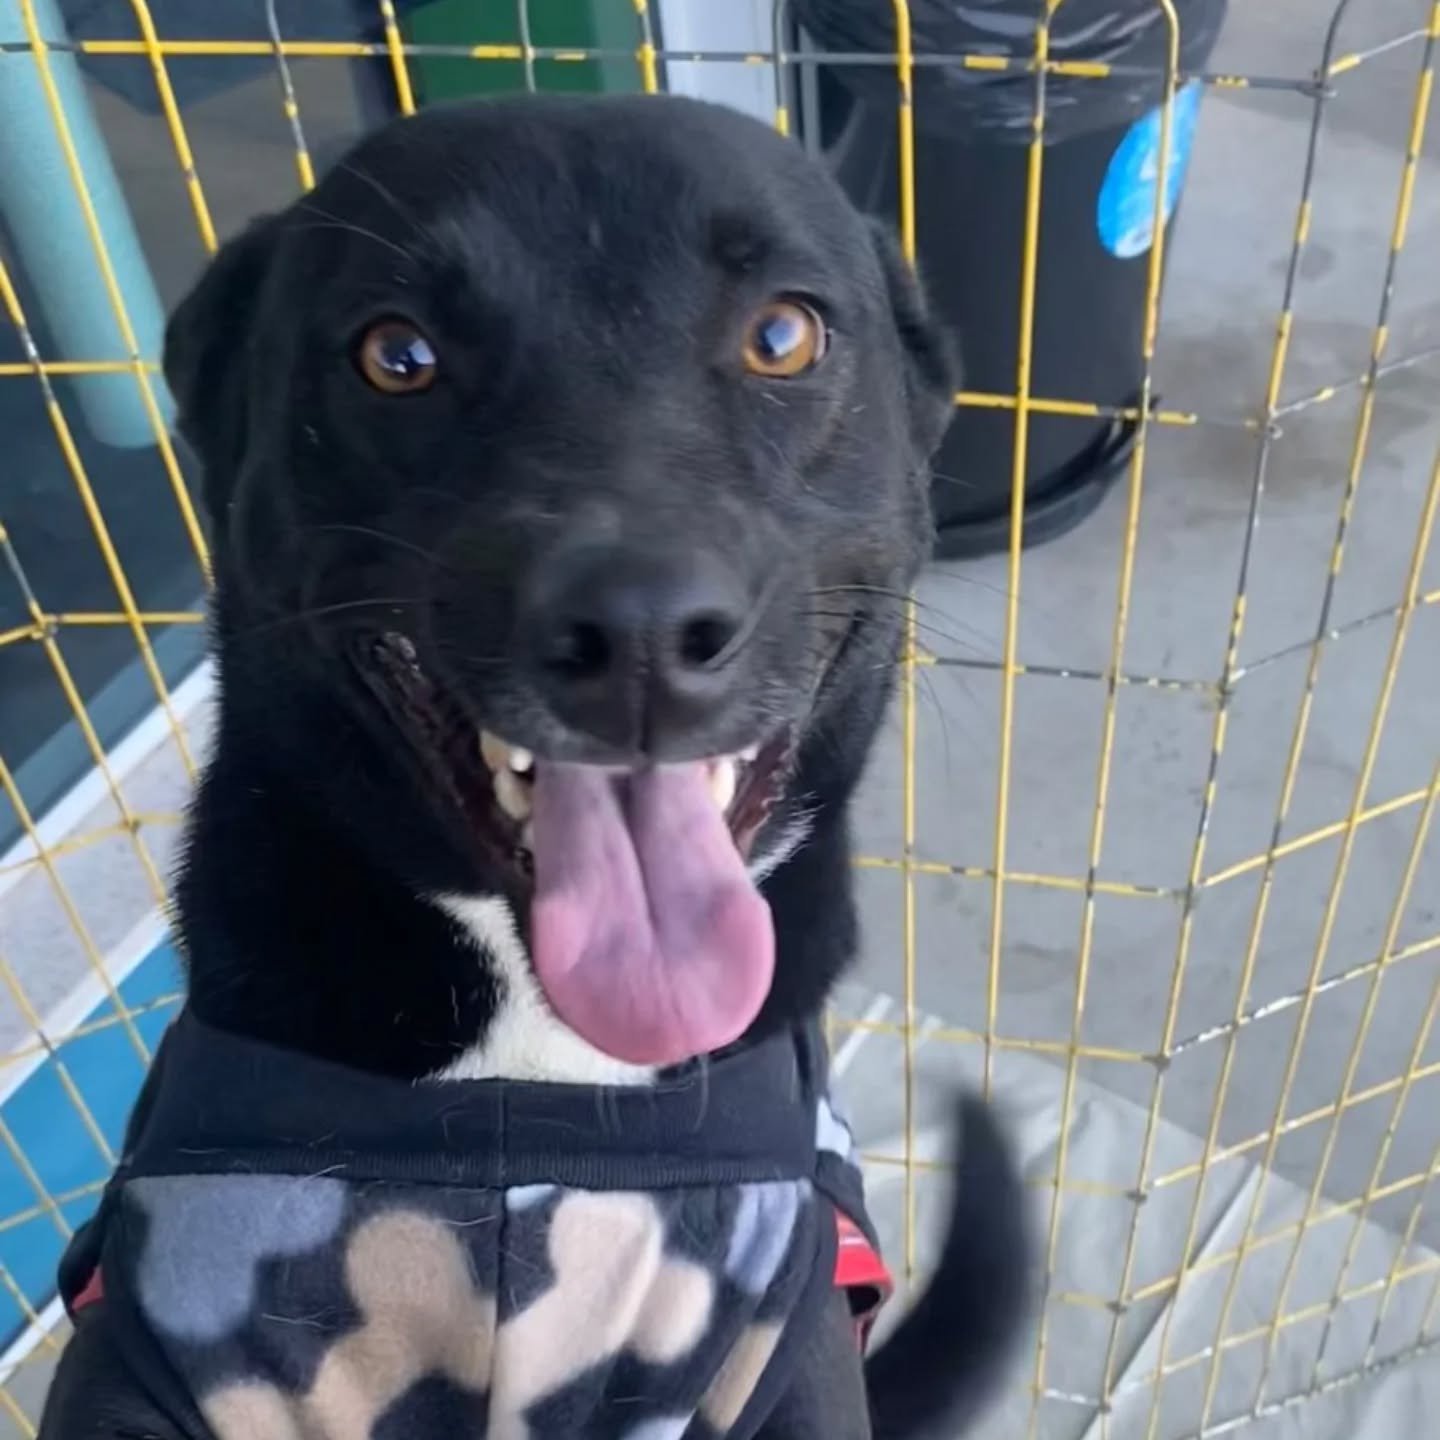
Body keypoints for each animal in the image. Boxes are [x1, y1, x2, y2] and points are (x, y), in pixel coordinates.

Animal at [39, 95, 1028, 1439]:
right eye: (396, 357)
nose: (640, 634)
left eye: (783, 335)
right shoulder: (165, 1349)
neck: (546, 1065)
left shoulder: (778, 1343)